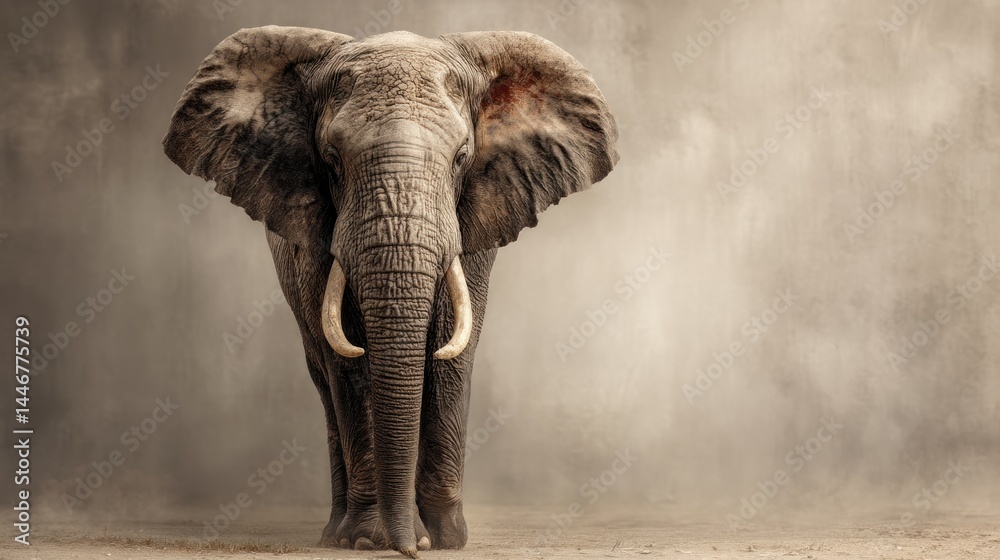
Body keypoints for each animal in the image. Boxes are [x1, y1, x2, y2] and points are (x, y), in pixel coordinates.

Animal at [162, 26, 618, 557]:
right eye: (331, 161)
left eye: (462, 159)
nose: (409, 547)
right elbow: (350, 360)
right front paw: (370, 538)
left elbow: (450, 354)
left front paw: (446, 539)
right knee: (324, 378)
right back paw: (337, 534)